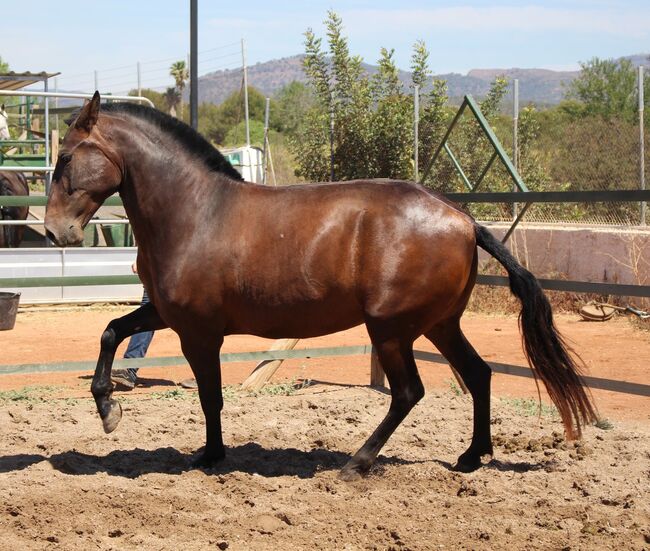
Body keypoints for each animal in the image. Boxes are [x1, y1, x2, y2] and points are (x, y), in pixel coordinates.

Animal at [44, 94, 592, 478]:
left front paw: (211, 455)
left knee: (408, 393)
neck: (195, 212)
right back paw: (471, 457)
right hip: (439, 325)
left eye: (66, 158)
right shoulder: (165, 314)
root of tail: (462, 219)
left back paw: (357, 463)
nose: (54, 232)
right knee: (478, 375)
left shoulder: (198, 333)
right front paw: (108, 409)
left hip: (392, 330)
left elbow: (209, 397)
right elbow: (112, 331)